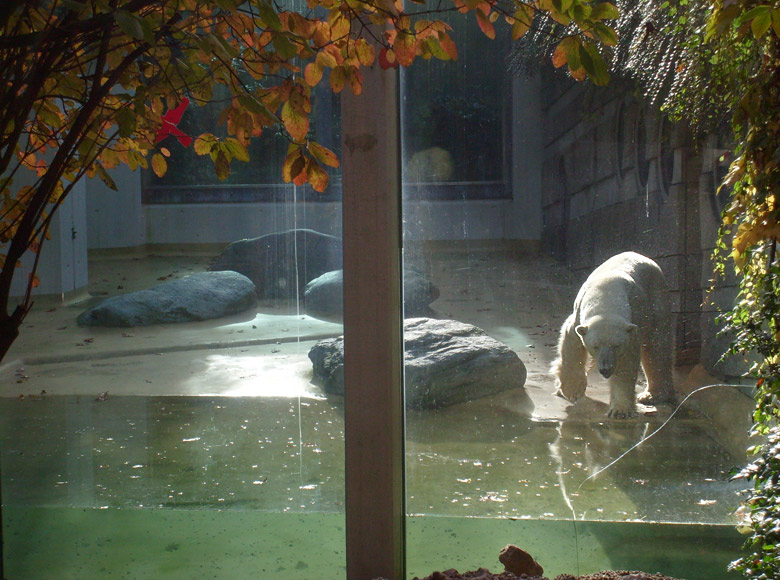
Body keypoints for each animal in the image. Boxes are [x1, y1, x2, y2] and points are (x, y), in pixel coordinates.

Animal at [552, 251, 672, 420]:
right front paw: (572, 390)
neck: (606, 295)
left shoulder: (632, 328)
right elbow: (572, 343)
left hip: (657, 300)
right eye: (595, 346)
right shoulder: (578, 317)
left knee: (657, 348)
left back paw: (652, 395)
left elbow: (626, 365)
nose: (606, 369)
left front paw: (620, 411)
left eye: (617, 346)